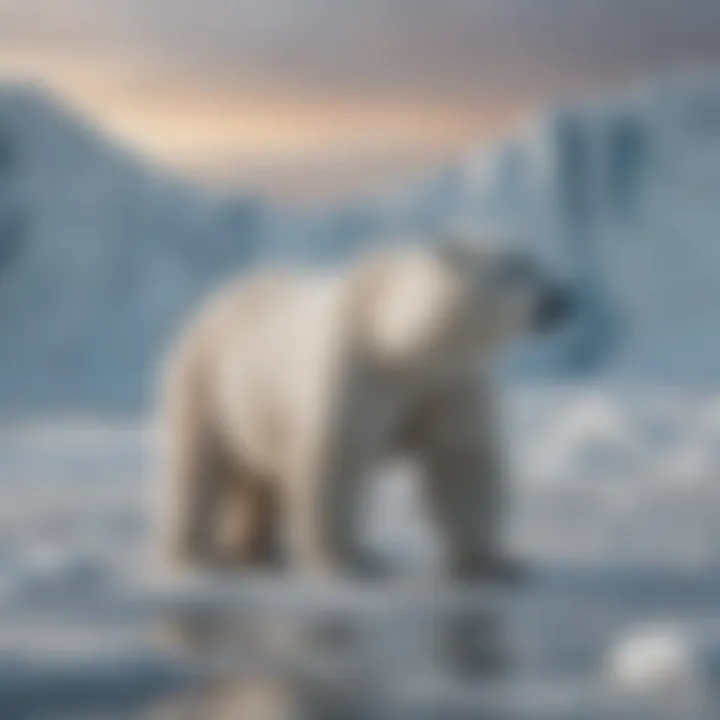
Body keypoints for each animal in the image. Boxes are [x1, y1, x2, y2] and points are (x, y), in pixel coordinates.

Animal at [155, 239, 572, 584]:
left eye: (535, 262)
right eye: (512, 269)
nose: (559, 299)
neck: (397, 346)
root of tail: (220, 296)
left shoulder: (450, 384)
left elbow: (462, 461)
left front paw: (492, 561)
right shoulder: (358, 371)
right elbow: (337, 460)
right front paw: (349, 560)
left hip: (256, 405)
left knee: (259, 476)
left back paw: (255, 550)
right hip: (209, 377)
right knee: (200, 465)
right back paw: (193, 555)